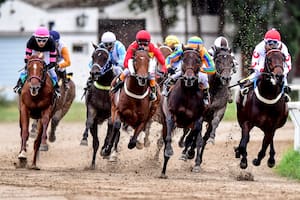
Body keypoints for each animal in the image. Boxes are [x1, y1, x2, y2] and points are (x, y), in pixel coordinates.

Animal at [159, 48, 206, 178]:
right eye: (183, 59)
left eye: (198, 60)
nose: (189, 78)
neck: (187, 95)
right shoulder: (170, 115)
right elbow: (168, 138)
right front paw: (169, 151)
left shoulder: (198, 118)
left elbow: (194, 134)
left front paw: (188, 151)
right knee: (165, 138)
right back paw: (163, 171)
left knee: (197, 138)